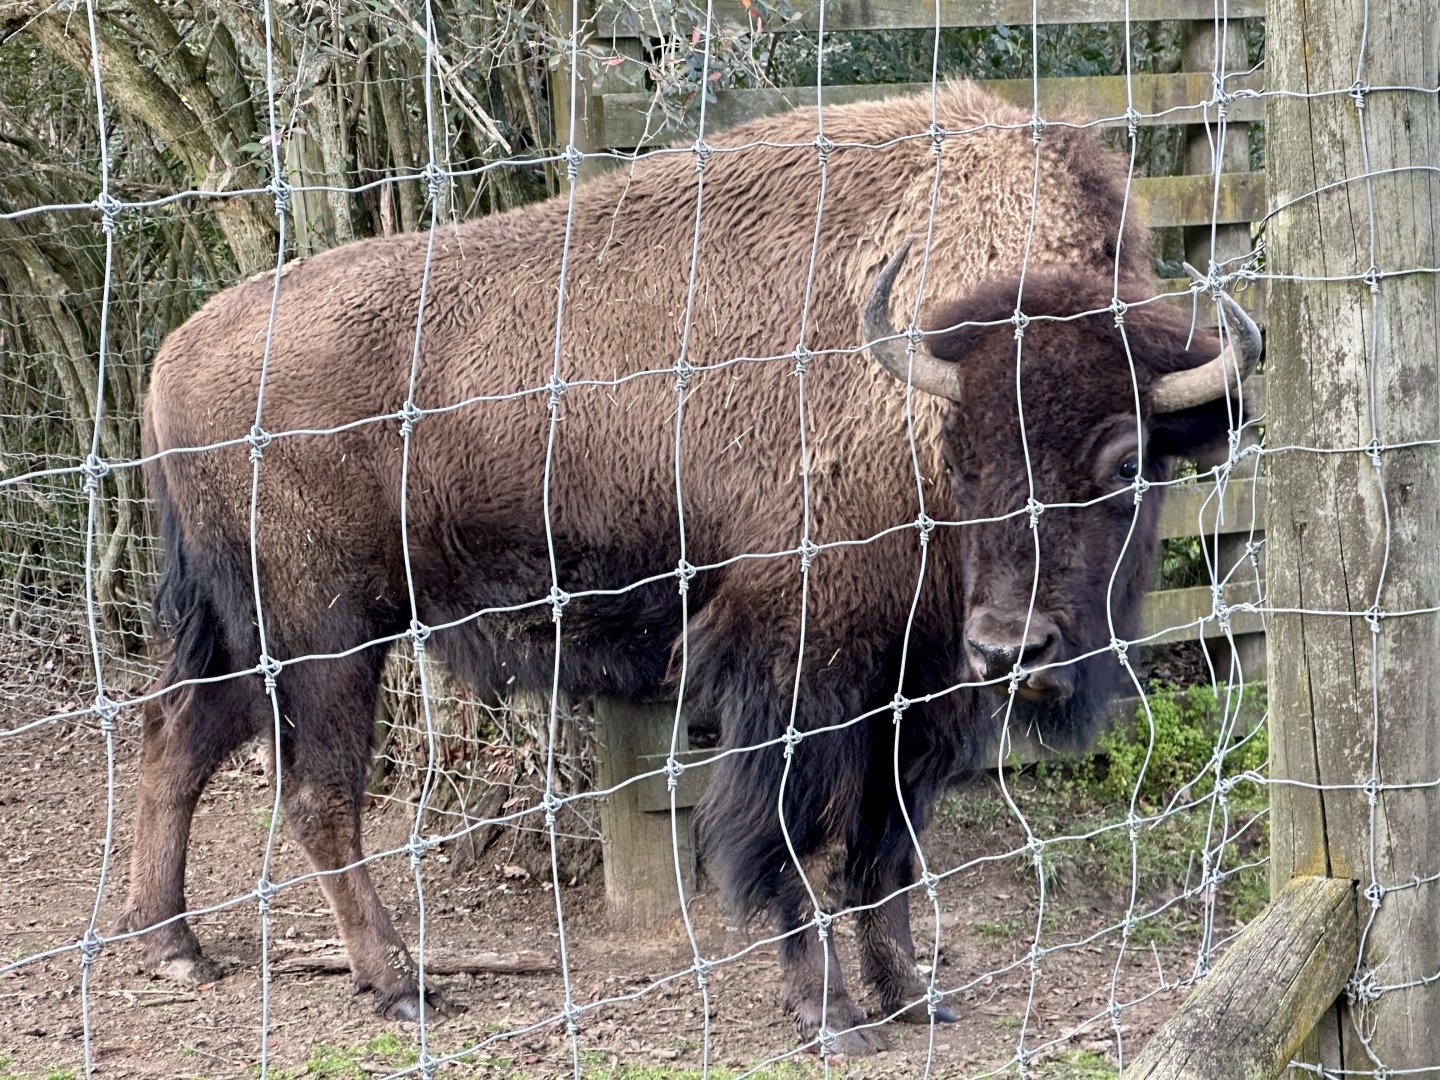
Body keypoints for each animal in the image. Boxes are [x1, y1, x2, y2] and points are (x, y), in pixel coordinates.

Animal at [122, 81, 1259, 1052]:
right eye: (964, 453)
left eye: (1128, 462)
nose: (1014, 648)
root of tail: (173, 354)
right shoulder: (799, 670)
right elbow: (789, 839)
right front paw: (830, 1016)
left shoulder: (920, 688)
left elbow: (888, 848)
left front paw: (912, 1000)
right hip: (324, 633)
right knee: (319, 794)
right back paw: (399, 984)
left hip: (254, 630)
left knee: (177, 736)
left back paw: (173, 946)